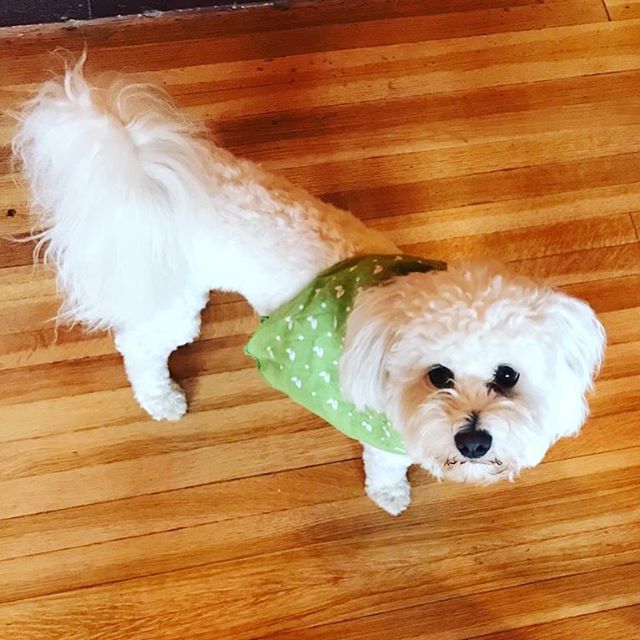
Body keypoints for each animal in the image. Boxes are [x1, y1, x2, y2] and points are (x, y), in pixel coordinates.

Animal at [13, 61, 604, 516]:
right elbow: (385, 467)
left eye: (508, 376)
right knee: (138, 346)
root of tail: (152, 167)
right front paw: (390, 496)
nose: (474, 441)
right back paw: (160, 397)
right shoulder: (383, 437)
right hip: (177, 303)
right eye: (438, 375)